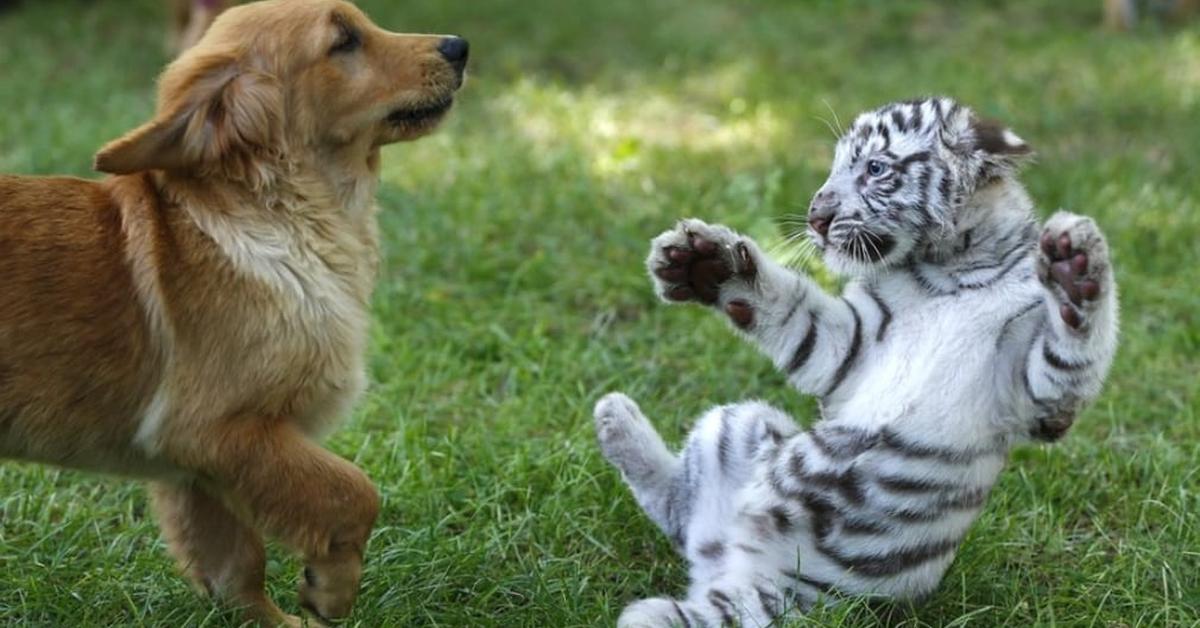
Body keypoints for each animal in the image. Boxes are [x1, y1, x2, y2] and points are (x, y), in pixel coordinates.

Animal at [1, 2, 468, 624]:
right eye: (344, 40)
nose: (460, 46)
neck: (282, 213)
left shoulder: (196, 467)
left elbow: (234, 566)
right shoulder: (215, 428)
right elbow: (353, 491)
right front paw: (332, 589)